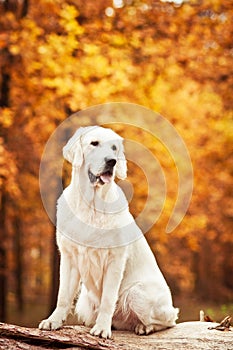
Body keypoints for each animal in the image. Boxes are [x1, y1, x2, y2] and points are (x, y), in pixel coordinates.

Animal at [39, 126, 178, 340]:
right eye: (94, 143)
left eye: (114, 148)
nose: (111, 161)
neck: (91, 204)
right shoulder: (69, 257)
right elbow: (63, 295)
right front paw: (53, 320)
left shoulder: (115, 259)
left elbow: (108, 299)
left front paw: (102, 328)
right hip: (85, 301)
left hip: (137, 293)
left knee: (168, 321)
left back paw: (143, 327)